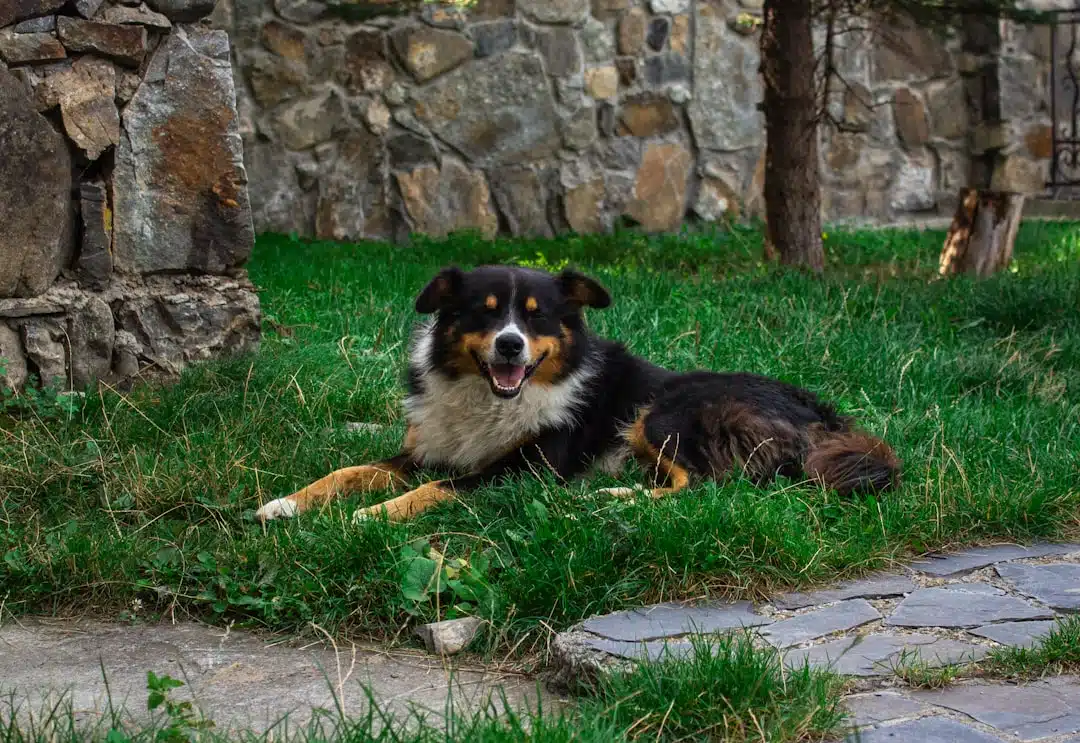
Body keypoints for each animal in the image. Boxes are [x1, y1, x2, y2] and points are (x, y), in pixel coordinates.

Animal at [254, 264, 902, 524]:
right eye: (484, 312)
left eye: (536, 317)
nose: (510, 345)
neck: (491, 398)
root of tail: (825, 417)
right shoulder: (426, 449)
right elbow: (348, 470)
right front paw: (285, 504)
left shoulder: (526, 470)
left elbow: (437, 490)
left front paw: (370, 516)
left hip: (665, 412)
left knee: (708, 486)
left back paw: (610, 498)